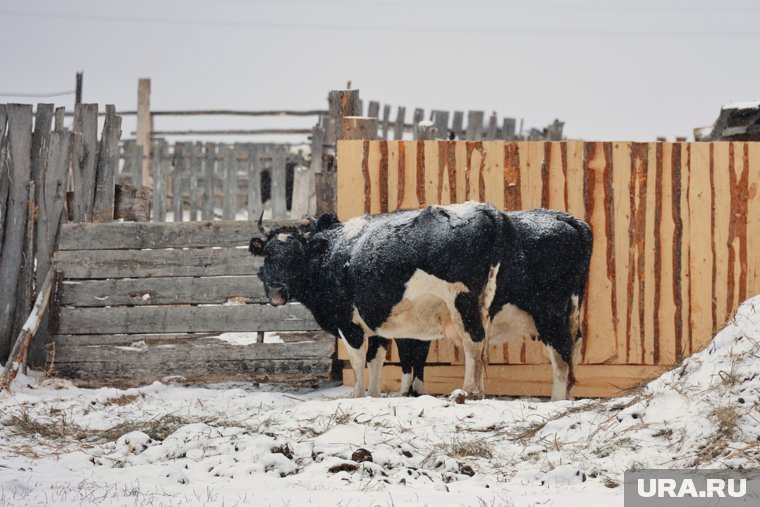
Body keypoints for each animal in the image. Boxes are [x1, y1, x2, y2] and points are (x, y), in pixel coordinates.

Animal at [251, 202, 592, 400]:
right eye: (268, 254)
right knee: (571, 346)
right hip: (566, 310)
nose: (276, 290)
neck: (333, 251)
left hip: (487, 305)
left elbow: (361, 360)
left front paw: (358, 395)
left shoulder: (350, 322)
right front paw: (376, 394)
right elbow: (380, 359)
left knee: (481, 343)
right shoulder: (379, 323)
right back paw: (564, 396)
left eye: (295, 256)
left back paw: (471, 392)